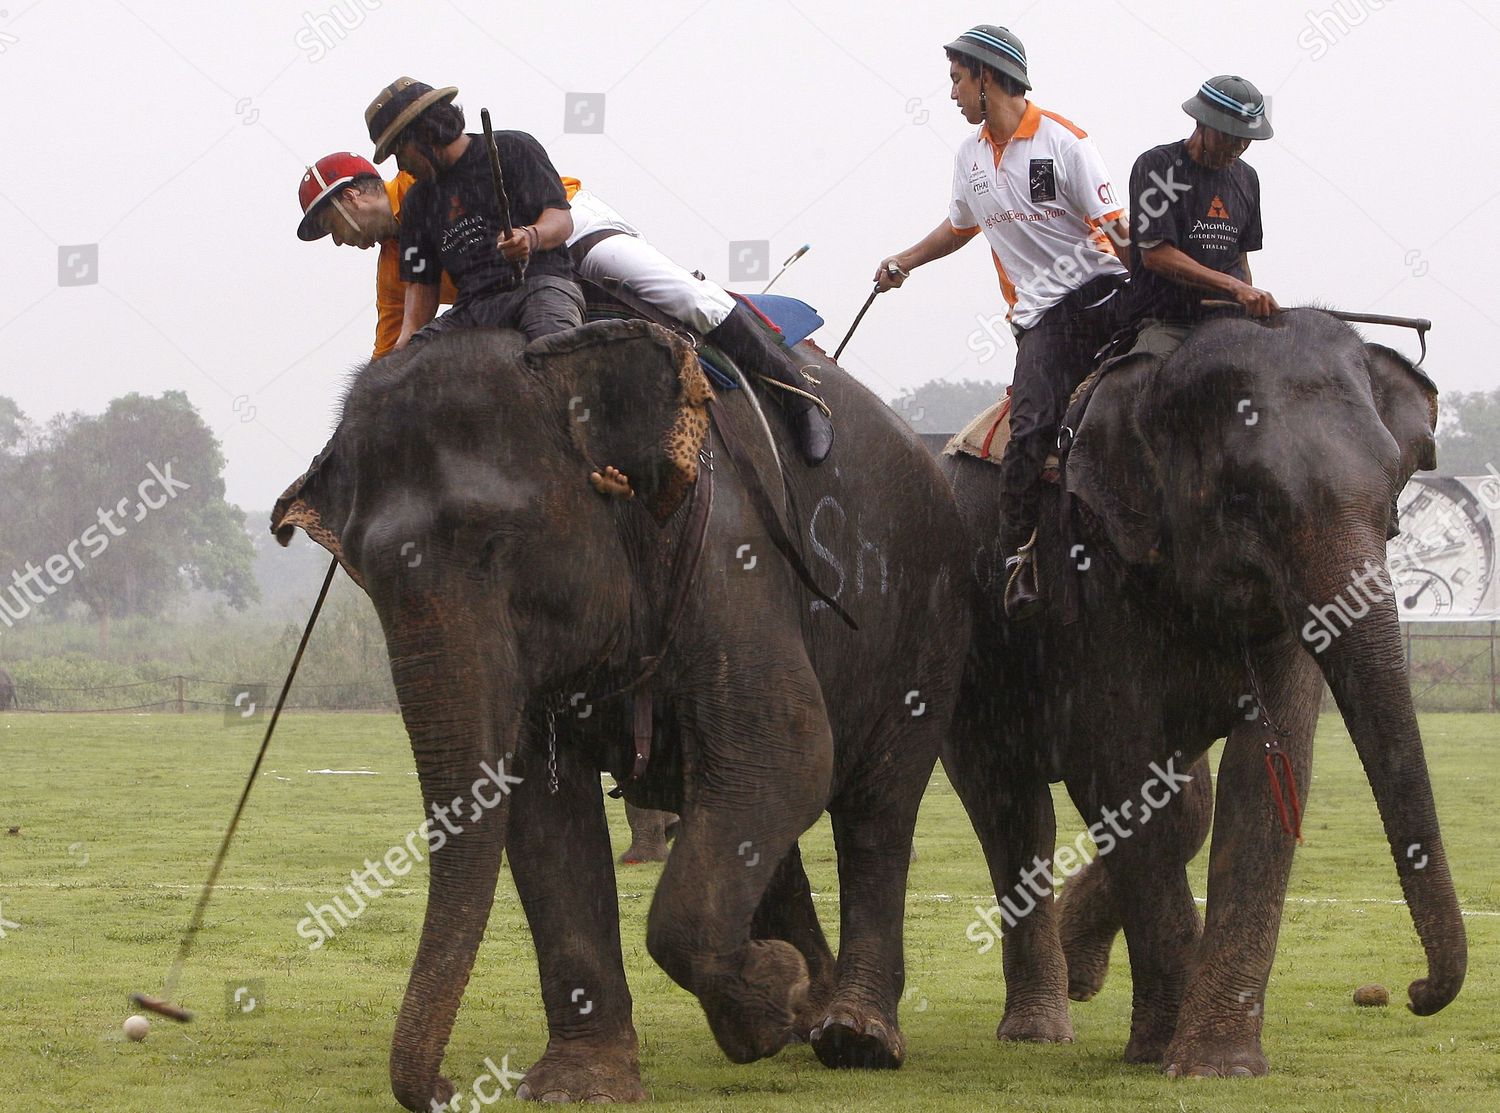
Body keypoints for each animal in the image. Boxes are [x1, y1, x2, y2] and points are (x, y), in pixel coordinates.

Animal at [270, 318, 972, 1110]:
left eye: (495, 544)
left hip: (929, 623)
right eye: (361, 571)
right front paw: (581, 1084)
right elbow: (544, 812)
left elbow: (788, 750)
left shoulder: (733, 551)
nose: (448, 1086)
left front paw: (763, 1010)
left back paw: (853, 1035)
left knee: (876, 808)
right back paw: (809, 1007)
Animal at [942, 309, 1458, 1074]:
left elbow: (1266, 774)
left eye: (1391, 505)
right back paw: (1040, 1025)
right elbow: (1119, 770)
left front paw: (1216, 1062)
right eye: (1248, 500)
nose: (1416, 991)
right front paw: (1165, 1050)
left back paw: (1079, 967)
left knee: (1187, 804)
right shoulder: (1088, 573)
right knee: (1012, 808)